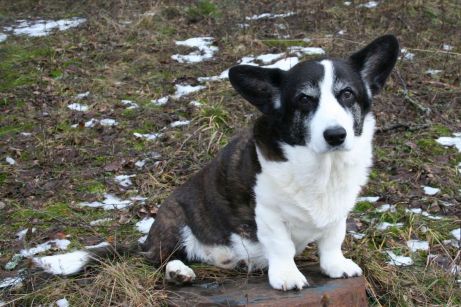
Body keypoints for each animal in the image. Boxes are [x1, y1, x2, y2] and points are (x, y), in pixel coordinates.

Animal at [140, 35, 398, 292]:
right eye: (304, 98)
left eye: (347, 94)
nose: (335, 135)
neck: (323, 167)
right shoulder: (268, 211)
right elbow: (281, 244)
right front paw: (287, 276)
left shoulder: (338, 211)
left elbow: (332, 239)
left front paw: (336, 266)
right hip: (175, 220)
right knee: (163, 258)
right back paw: (178, 272)